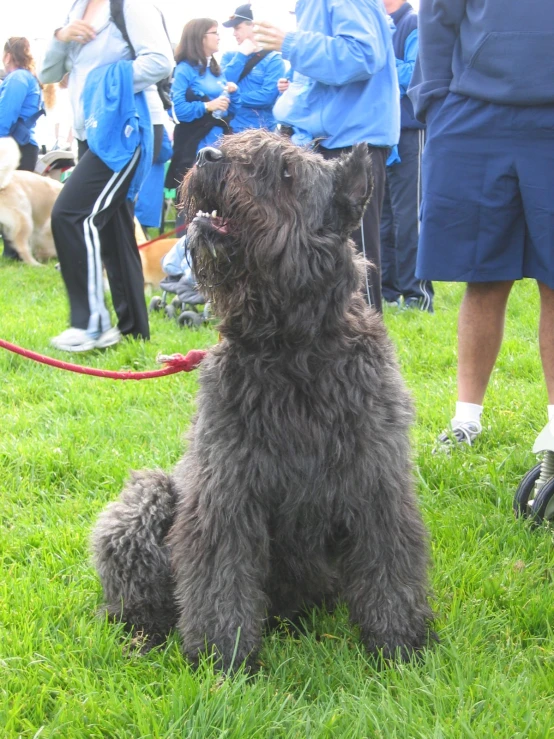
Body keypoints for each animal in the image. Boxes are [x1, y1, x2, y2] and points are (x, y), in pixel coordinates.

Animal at [91, 130, 432, 672]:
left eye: (287, 172)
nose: (207, 155)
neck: (292, 352)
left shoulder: (376, 483)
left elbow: (388, 566)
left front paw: (398, 646)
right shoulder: (226, 491)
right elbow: (220, 580)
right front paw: (223, 661)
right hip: (146, 499)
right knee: (137, 594)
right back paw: (143, 634)